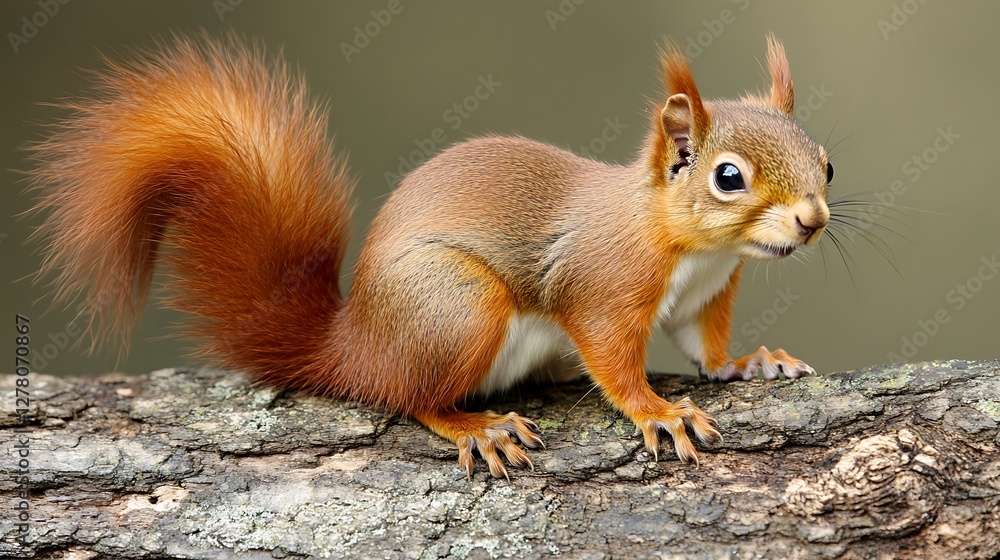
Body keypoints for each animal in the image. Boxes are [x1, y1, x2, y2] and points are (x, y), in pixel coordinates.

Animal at [29, 33, 830, 479]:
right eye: (728, 178)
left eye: (825, 162)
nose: (813, 221)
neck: (694, 249)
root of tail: (353, 346)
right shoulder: (603, 286)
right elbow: (612, 359)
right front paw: (658, 412)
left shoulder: (705, 295)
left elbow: (706, 348)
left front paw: (753, 362)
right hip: (459, 305)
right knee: (407, 396)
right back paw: (477, 426)